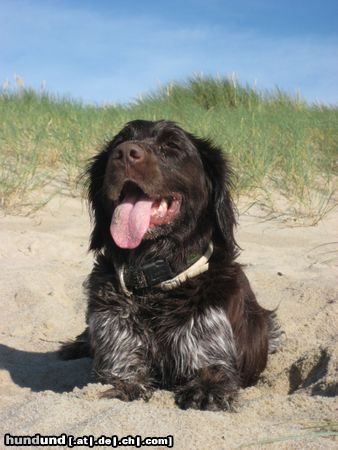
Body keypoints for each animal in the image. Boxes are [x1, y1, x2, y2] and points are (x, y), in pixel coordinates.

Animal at [59, 120, 282, 412]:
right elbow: (121, 380)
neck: (154, 281)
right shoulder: (119, 353)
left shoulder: (209, 349)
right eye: (119, 141)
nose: (125, 153)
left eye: (172, 146)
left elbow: (211, 379)